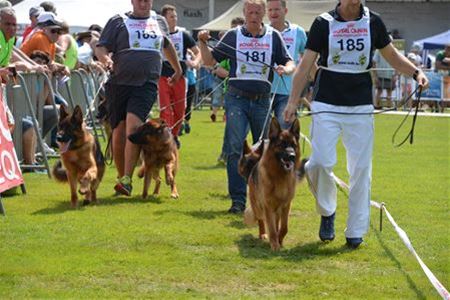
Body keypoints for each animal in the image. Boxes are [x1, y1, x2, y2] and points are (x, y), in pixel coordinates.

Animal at [237, 117, 304, 251]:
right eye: (282, 145)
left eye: (293, 145)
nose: (292, 156)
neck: (280, 176)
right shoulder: (268, 206)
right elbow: (272, 228)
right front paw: (274, 245)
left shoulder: (286, 206)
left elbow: (284, 227)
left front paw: (279, 240)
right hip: (258, 207)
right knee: (261, 220)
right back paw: (263, 234)